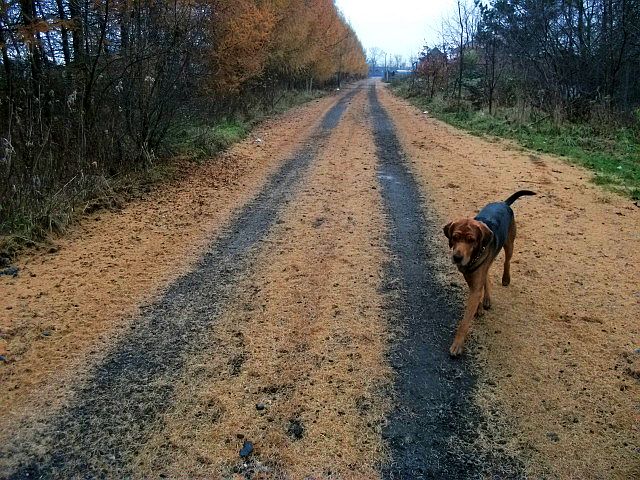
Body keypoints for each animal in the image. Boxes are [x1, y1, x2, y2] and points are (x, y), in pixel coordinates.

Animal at [442, 191, 536, 356]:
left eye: (471, 240)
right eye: (454, 237)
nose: (457, 257)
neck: (474, 257)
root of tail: (503, 203)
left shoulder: (476, 282)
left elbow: (464, 322)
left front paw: (457, 344)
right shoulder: (472, 279)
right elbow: (480, 288)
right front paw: (479, 307)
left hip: (509, 244)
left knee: (507, 261)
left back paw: (505, 278)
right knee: (487, 276)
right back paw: (486, 300)